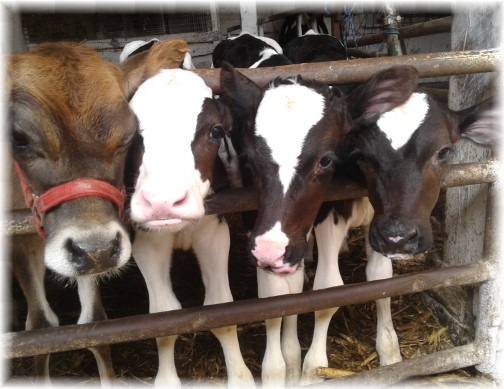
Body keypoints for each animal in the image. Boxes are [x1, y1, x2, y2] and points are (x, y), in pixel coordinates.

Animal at [125, 68, 252, 386]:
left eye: (216, 131)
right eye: (133, 134)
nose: (162, 202)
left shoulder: (214, 232)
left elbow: (221, 309)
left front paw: (239, 375)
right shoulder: (146, 241)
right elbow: (163, 317)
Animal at [219, 63, 498, 384]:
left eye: (444, 152)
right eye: (363, 154)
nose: (400, 236)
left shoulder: (378, 227)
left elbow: (380, 280)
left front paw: (390, 352)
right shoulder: (327, 217)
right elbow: (323, 291)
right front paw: (310, 370)